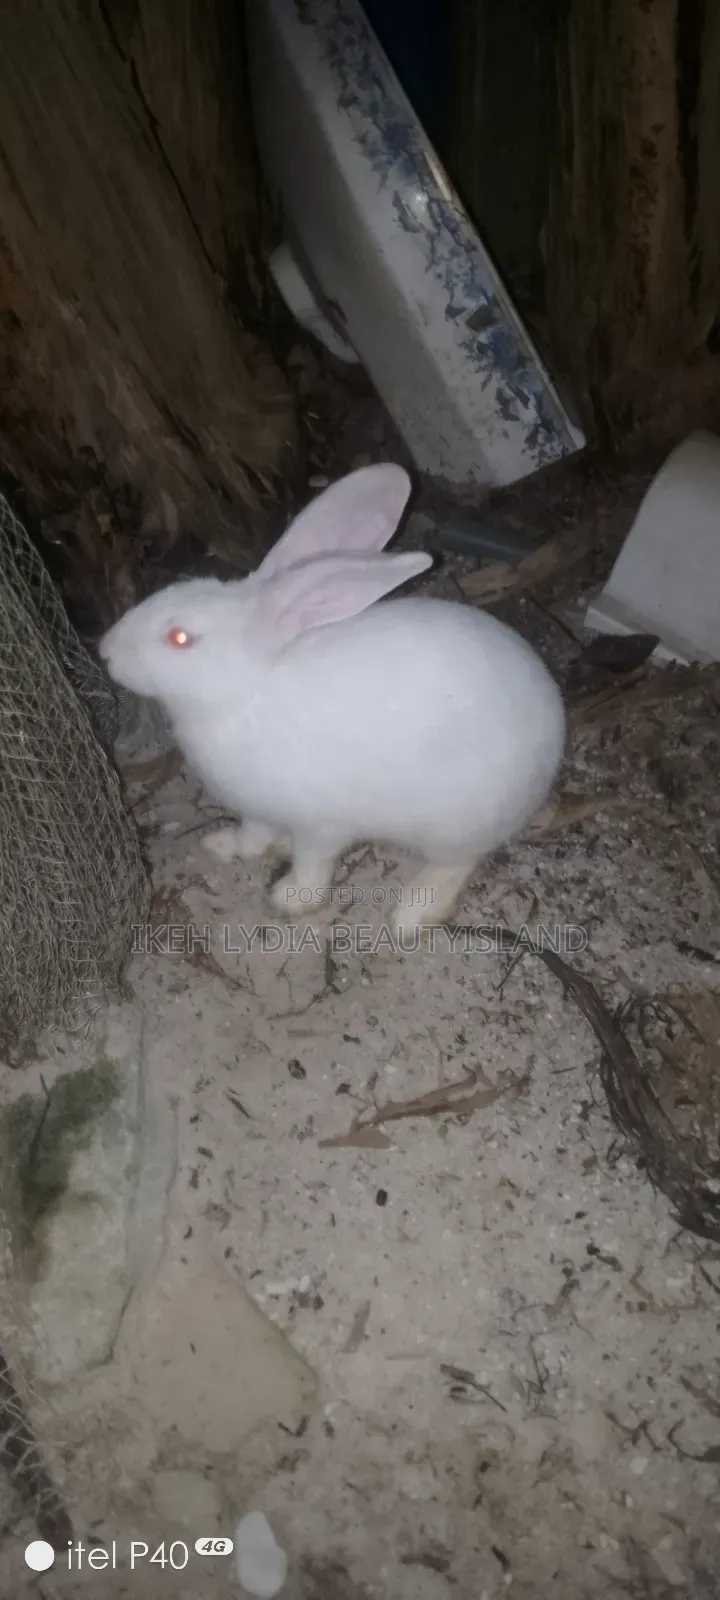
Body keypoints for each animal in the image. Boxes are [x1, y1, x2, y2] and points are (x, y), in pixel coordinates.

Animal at [99, 463, 566, 935]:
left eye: (179, 638)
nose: (105, 651)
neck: (245, 690)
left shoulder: (319, 825)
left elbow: (312, 864)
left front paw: (288, 898)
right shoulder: (257, 810)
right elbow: (253, 836)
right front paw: (224, 845)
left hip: (453, 824)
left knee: (458, 862)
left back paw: (412, 911)